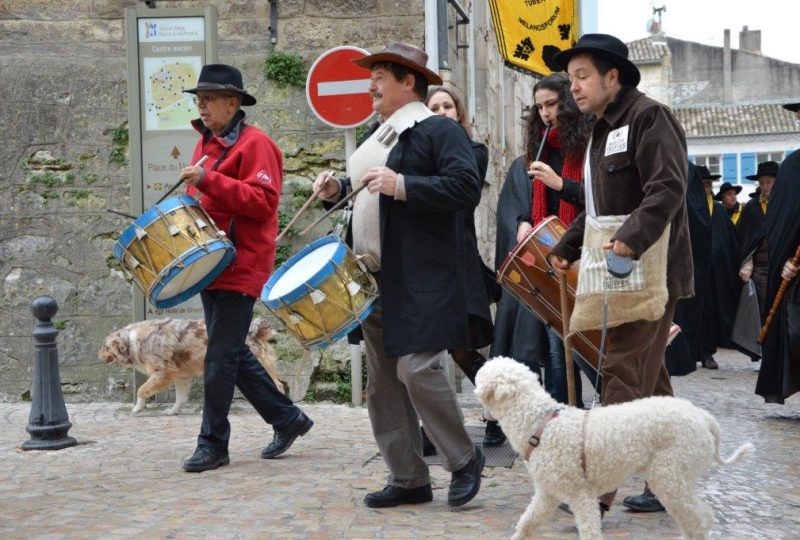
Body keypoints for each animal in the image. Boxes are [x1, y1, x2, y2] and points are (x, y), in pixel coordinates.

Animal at [99, 316, 282, 414]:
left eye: (105, 346)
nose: (97, 354)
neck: (131, 341)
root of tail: (255, 328)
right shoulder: (180, 377)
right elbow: (180, 398)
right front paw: (173, 411)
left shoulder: (162, 372)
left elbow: (141, 390)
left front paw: (137, 408)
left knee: (277, 385)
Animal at [476, 356, 756, 536]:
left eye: (478, 383)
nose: (483, 418)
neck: (540, 423)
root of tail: (704, 418)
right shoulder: (548, 494)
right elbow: (527, 523)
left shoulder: (581, 495)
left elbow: (589, 531)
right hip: (677, 477)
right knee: (698, 517)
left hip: (669, 476)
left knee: (699, 519)